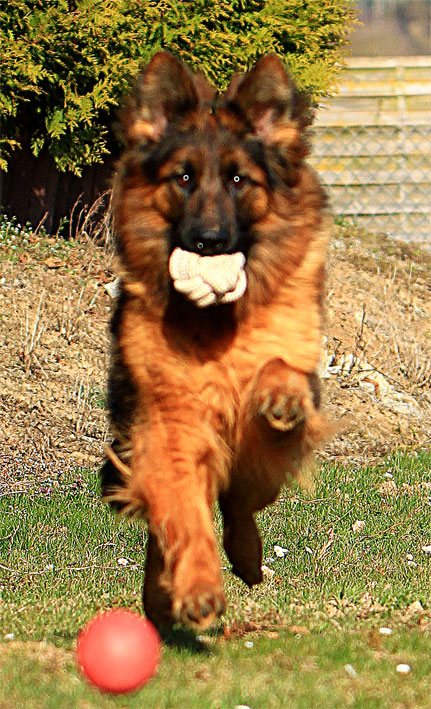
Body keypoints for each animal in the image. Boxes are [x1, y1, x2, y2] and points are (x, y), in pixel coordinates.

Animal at [101, 51, 331, 633]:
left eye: (238, 180)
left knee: (242, 503)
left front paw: (279, 393)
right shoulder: (173, 426)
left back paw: (248, 557)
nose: (209, 242)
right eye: (184, 178)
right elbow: (182, 514)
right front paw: (196, 588)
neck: (218, 320)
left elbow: (278, 365)